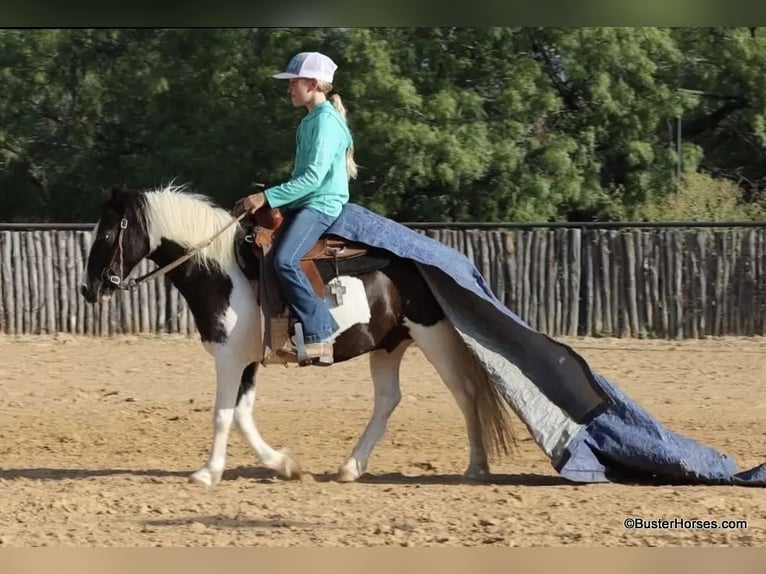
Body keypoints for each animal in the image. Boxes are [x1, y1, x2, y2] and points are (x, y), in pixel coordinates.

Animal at [79, 183, 516, 486]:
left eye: (106, 234)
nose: (87, 289)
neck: (223, 272)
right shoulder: (247, 360)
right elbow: (242, 414)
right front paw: (285, 465)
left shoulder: (229, 359)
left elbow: (222, 414)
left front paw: (207, 472)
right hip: (388, 344)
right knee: (388, 399)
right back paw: (351, 467)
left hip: (432, 334)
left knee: (464, 392)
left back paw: (476, 466)